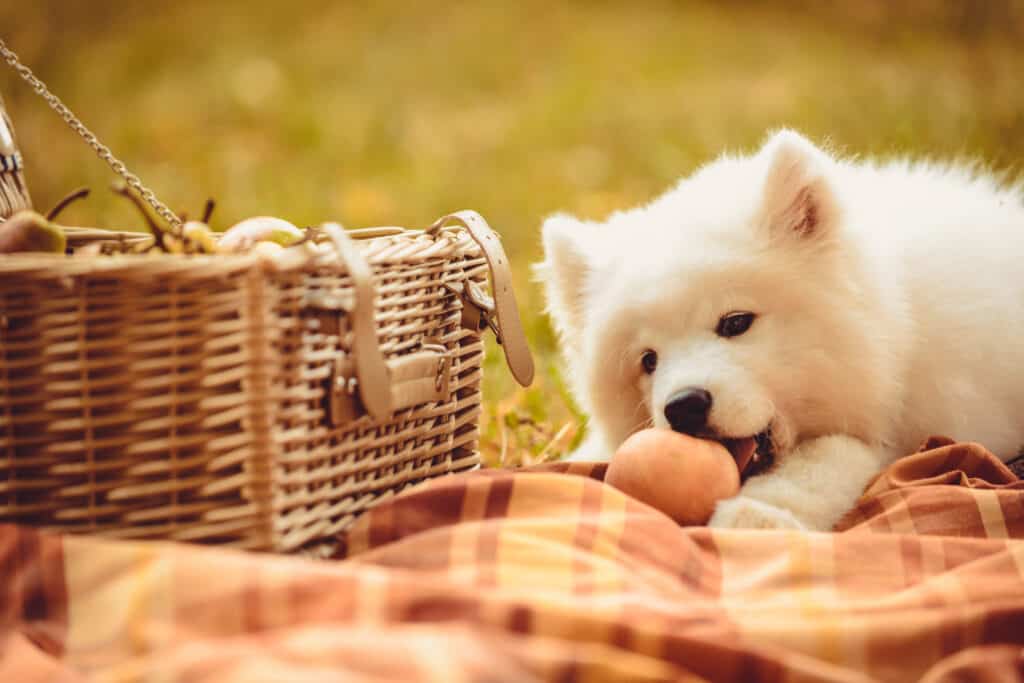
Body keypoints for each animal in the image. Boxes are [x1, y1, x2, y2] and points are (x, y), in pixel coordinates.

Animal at [536, 131, 1024, 532]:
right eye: (648, 360)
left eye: (735, 323)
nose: (683, 407)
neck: (899, 325)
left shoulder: (917, 425)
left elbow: (830, 454)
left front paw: (758, 513)